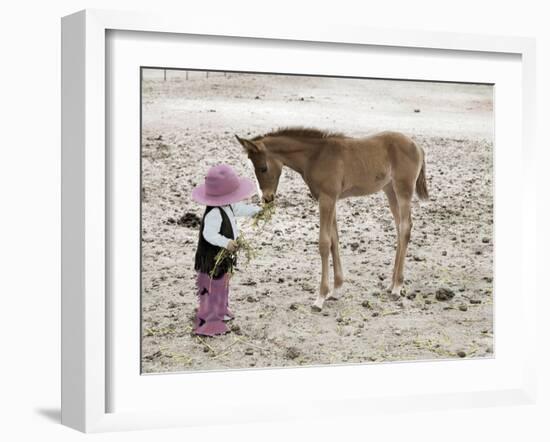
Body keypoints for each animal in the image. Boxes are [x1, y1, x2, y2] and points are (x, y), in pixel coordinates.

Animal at [235, 128, 430, 310]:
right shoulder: (332, 200)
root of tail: (417, 145)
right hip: (390, 190)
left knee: (405, 228)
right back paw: (391, 284)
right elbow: (334, 240)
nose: (267, 198)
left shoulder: (327, 199)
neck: (315, 156)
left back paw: (397, 286)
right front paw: (336, 290)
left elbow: (324, 243)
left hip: (403, 189)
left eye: (263, 168)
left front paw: (320, 297)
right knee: (399, 228)